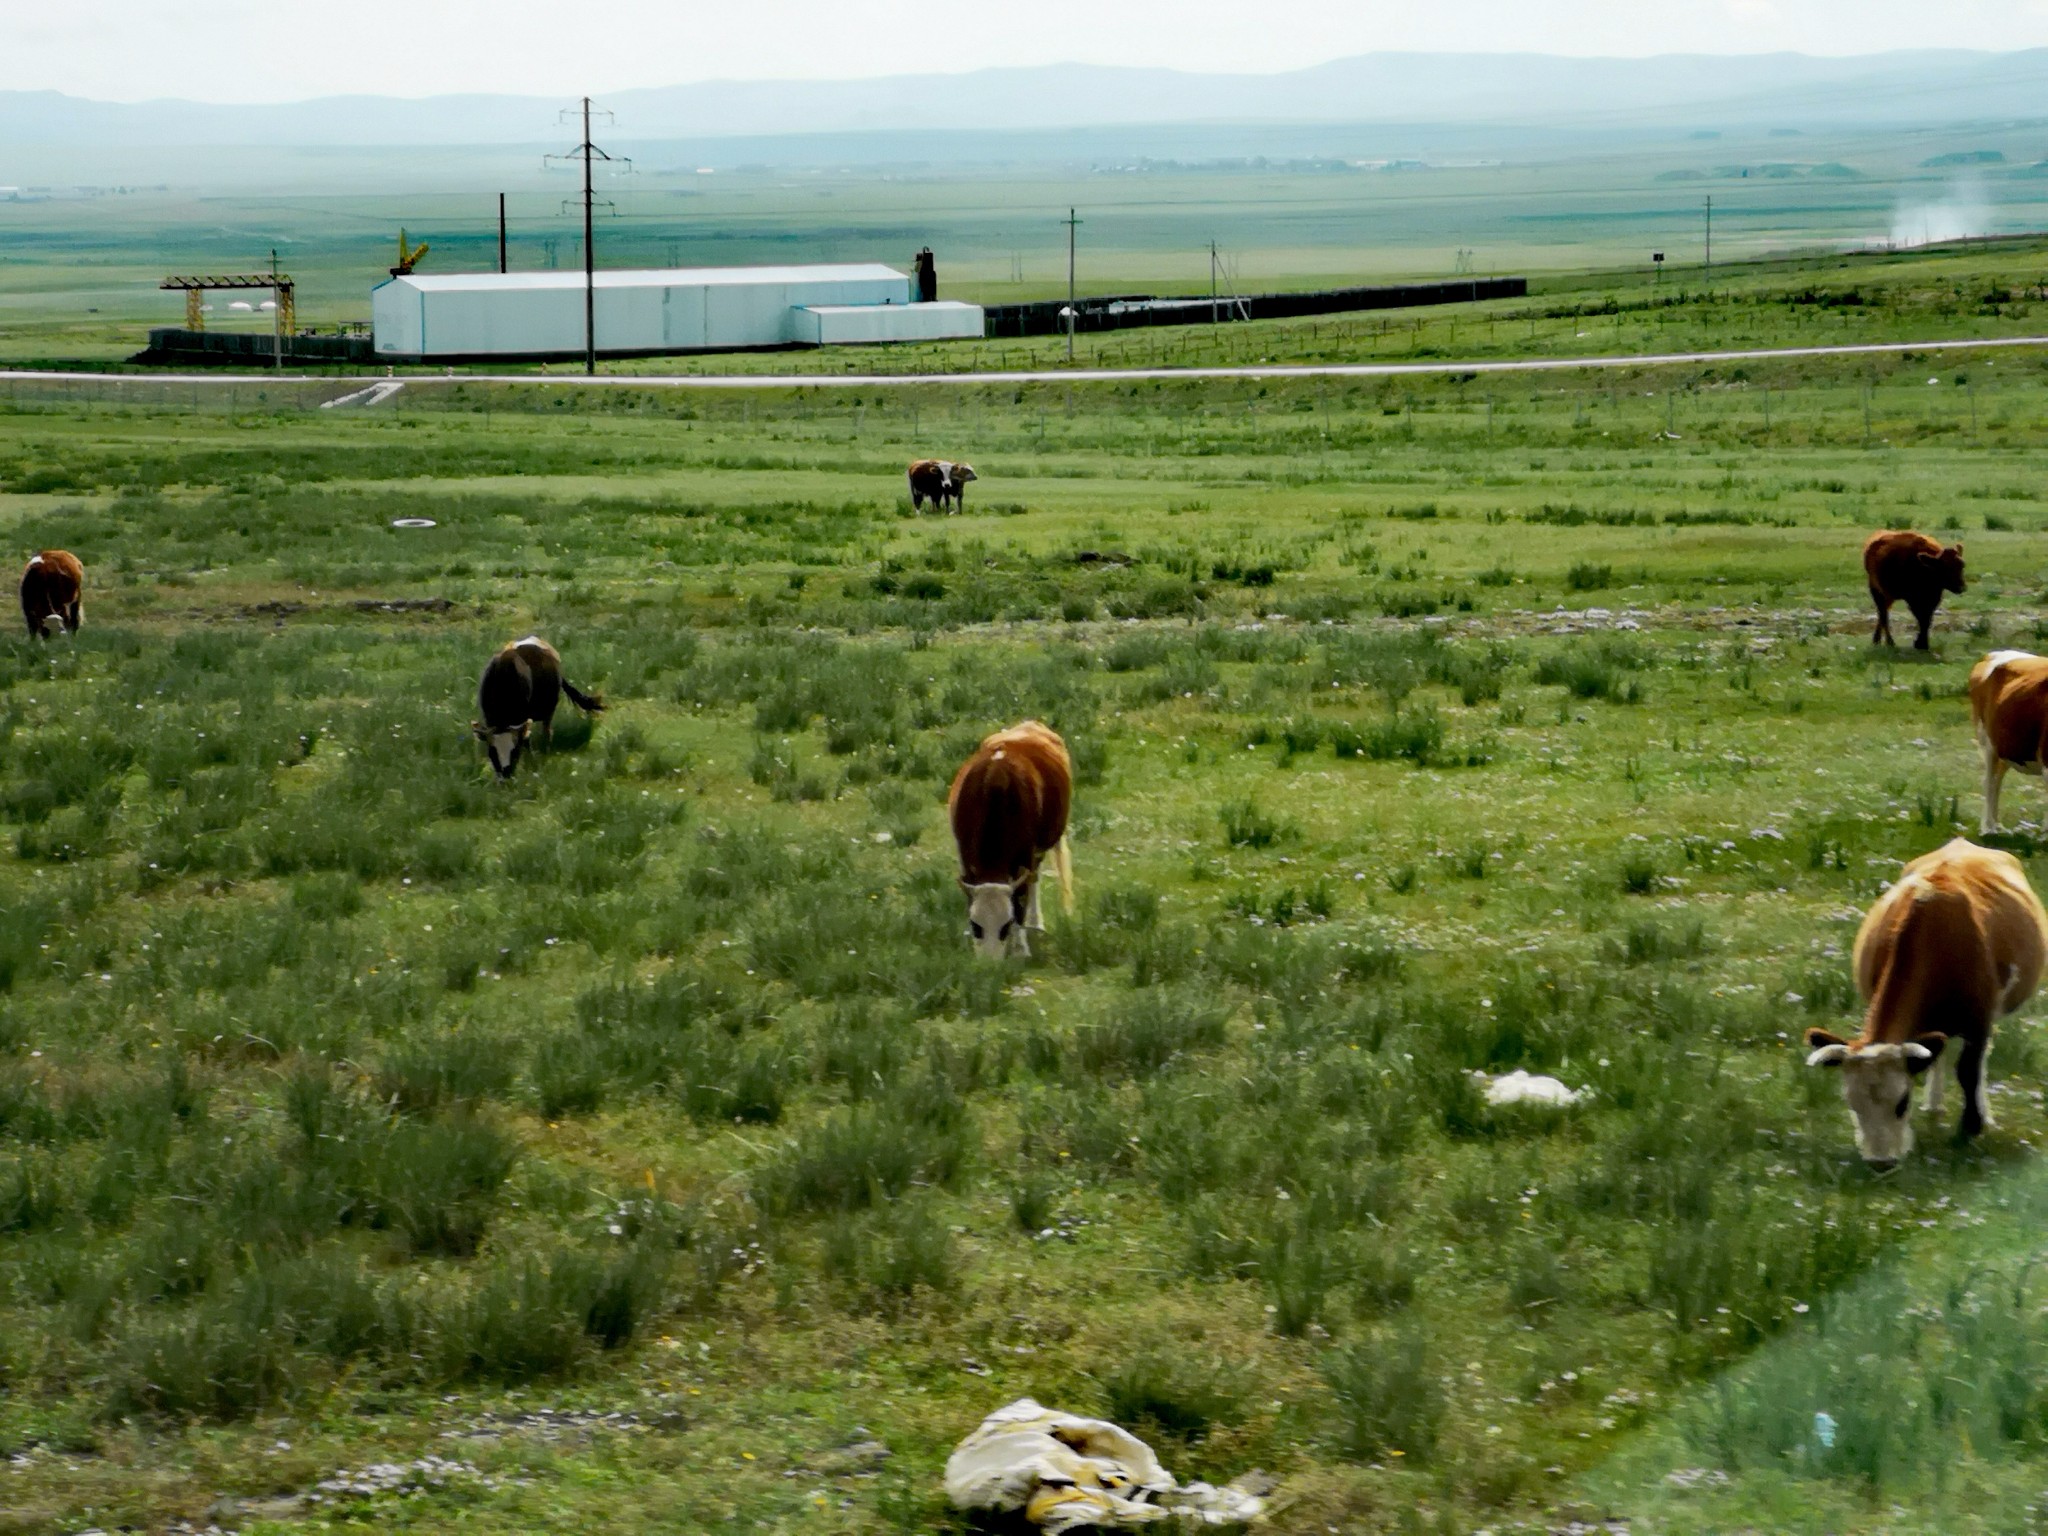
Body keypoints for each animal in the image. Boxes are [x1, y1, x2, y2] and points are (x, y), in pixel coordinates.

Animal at [475, 638, 602, 782]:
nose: (505, 778)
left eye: (514, 752)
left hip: (550, 709)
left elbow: (526, 740)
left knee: (547, 732)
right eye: (492, 752)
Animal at [950, 716, 1081, 958]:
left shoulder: (1025, 854)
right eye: (975, 926)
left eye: (1006, 925)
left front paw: (1021, 949)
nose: (988, 965)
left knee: (1034, 881)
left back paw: (1036, 924)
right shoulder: (964, 854)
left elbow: (1021, 897)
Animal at [1810, 843, 2048, 1163]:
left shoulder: (1979, 1020)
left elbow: (1969, 1072)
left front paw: (1971, 1128)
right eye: (1853, 1105)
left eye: (1902, 1102)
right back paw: (1935, 1105)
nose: (1881, 1163)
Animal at [1957, 651, 2048, 843]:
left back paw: (1996, 825)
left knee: (1997, 780)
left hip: (2005, 747)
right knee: (1989, 782)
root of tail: (1991, 654)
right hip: (1987, 741)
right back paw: (1988, 828)